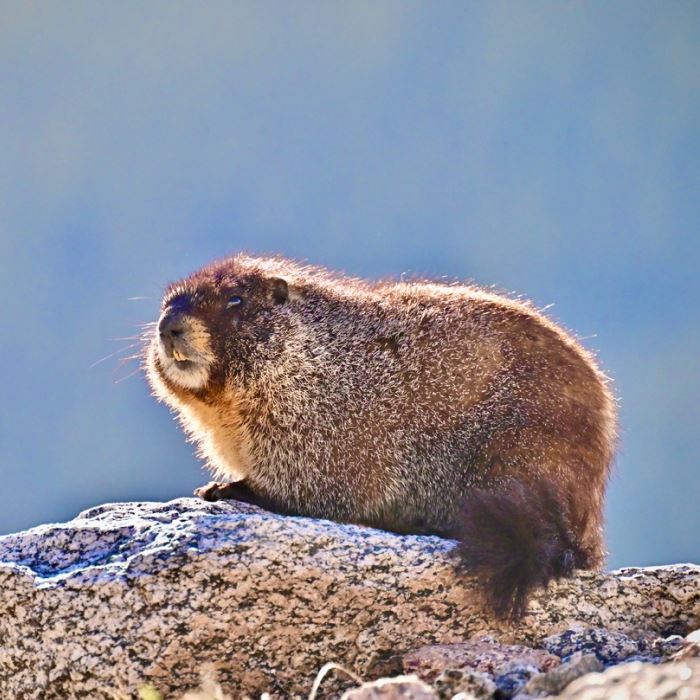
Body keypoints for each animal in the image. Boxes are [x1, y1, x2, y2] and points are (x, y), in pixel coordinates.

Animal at [146, 254, 617, 618]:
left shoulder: (318, 414)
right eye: (167, 301)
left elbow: (314, 478)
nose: (168, 325)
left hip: (519, 453)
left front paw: (228, 487)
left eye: (235, 299)